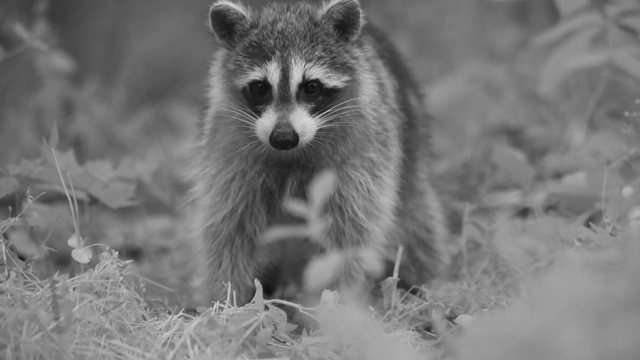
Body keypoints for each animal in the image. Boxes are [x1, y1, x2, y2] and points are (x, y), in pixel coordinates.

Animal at [190, 0, 450, 306]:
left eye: (311, 87)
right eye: (260, 87)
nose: (283, 137)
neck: (292, 155)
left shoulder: (363, 158)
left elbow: (350, 233)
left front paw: (338, 303)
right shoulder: (230, 157)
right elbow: (228, 230)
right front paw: (226, 302)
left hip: (411, 155)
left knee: (419, 229)